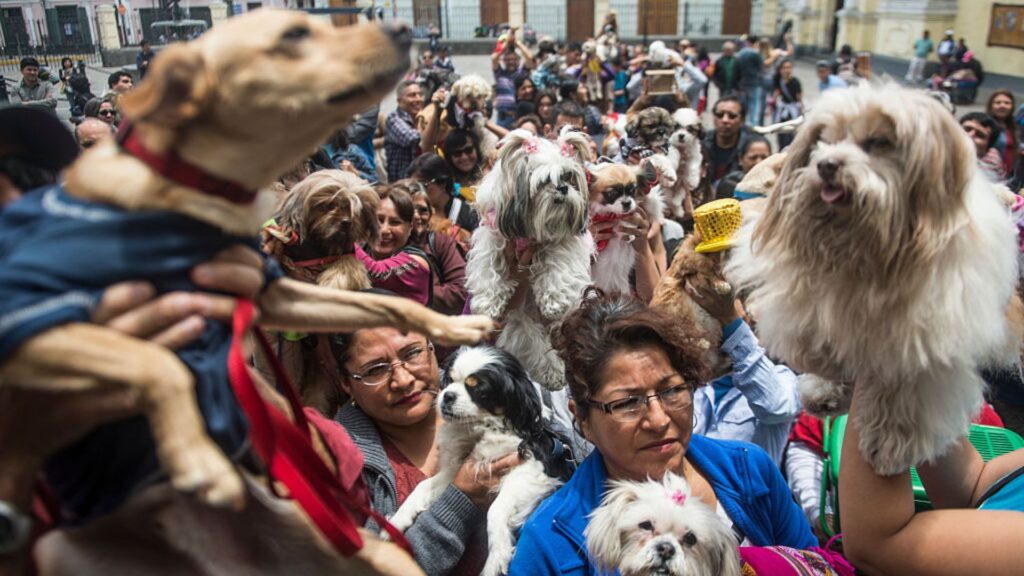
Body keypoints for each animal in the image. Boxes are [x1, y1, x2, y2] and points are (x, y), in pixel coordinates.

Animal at [0, 7, 495, 569]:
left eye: (357, 206)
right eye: (294, 35)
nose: (402, 31)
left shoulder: (273, 291)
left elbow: (367, 299)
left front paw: (451, 323)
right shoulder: (37, 323)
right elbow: (155, 361)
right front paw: (196, 454)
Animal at [387, 344, 573, 573]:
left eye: (477, 388)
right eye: (449, 380)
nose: (447, 395)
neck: (482, 428)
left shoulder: (531, 471)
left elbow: (495, 511)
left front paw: (495, 560)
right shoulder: (457, 471)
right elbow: (422, 487)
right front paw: (394, 523)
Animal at [724, 84, 1019, 471]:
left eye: (878, 141)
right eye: (823, 139)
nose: (826, 165)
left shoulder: (925, 341)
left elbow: (908, 394)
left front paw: (892, 442)